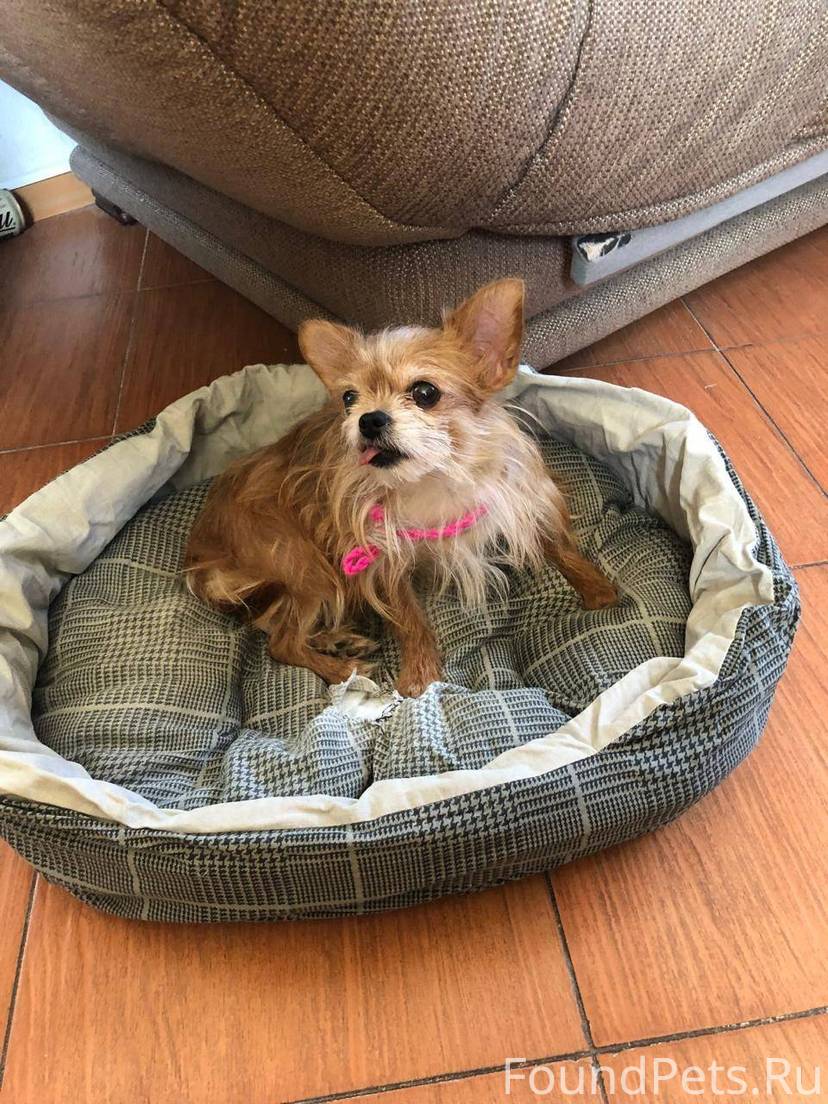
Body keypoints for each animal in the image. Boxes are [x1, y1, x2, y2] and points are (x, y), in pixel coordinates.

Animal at [184, 279, 617, 697]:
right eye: (348, 399)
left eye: (425, 392)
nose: (368, 419)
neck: (433, 479)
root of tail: (203, 553)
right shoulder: (382, 560)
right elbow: (411, 620)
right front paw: (420, 677)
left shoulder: (520, 500)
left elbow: (559, 546)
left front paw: (599, 591)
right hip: (306, 568)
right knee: (281, 642)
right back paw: (343, 668)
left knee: (270, 623)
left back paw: (337, 640)